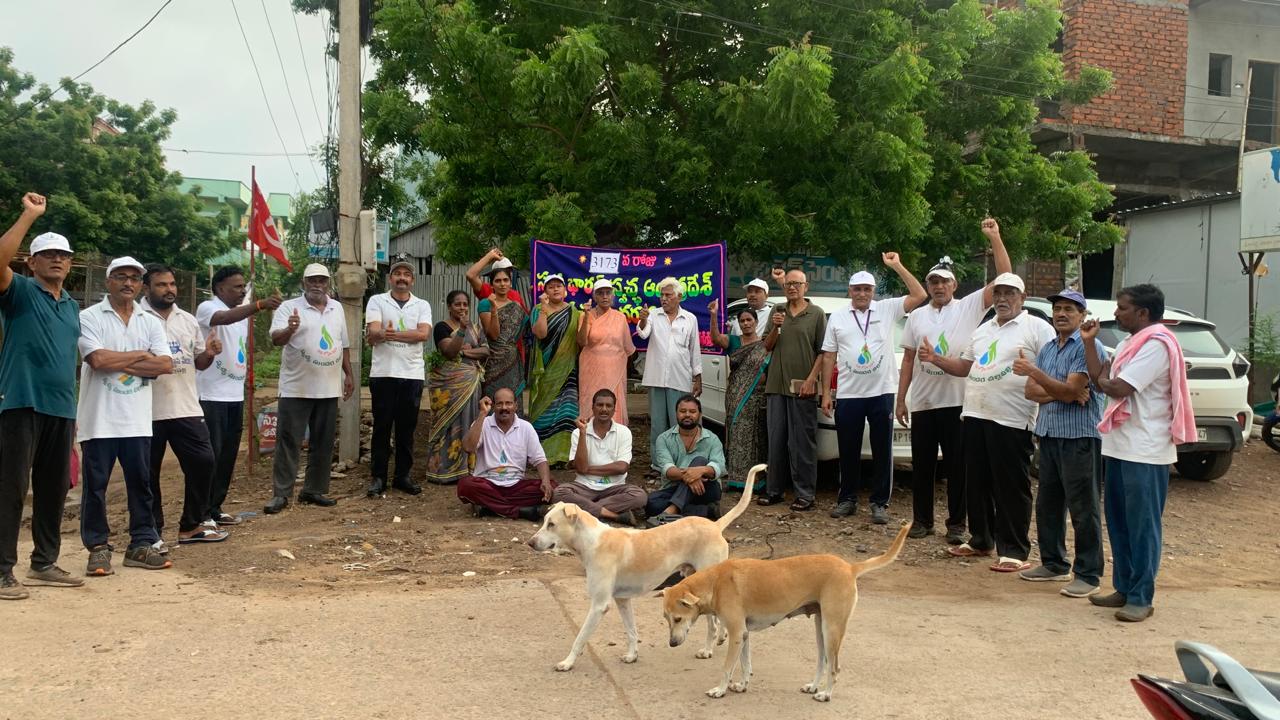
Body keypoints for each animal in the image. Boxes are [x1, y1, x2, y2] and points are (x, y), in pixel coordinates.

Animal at [527, 463, 762, 671]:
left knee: (712, 624)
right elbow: (631, 631)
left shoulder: (599, 605)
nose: (530, 543)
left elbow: (580, 637)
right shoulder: (622, 600)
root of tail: (714, 525)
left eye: (551, 524)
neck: (592, 541)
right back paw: (721, 638)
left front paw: (567, 662)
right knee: (717, 622)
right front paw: (632, 656)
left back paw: (707, 650)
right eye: (544, 521)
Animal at [658, 521, 911, 701]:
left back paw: (826, 694)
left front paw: (720, 690)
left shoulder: (736, 634)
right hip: (821, 629)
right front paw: (742, 685)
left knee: (835, 666)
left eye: (678, 618)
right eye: (667, 619)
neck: (715, 581)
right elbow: (745, 665)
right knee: (822, 661)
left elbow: (727, 667)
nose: (671, 643)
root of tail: (849, 567)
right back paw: (814, 686)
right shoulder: (744, 634)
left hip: (832, 629)